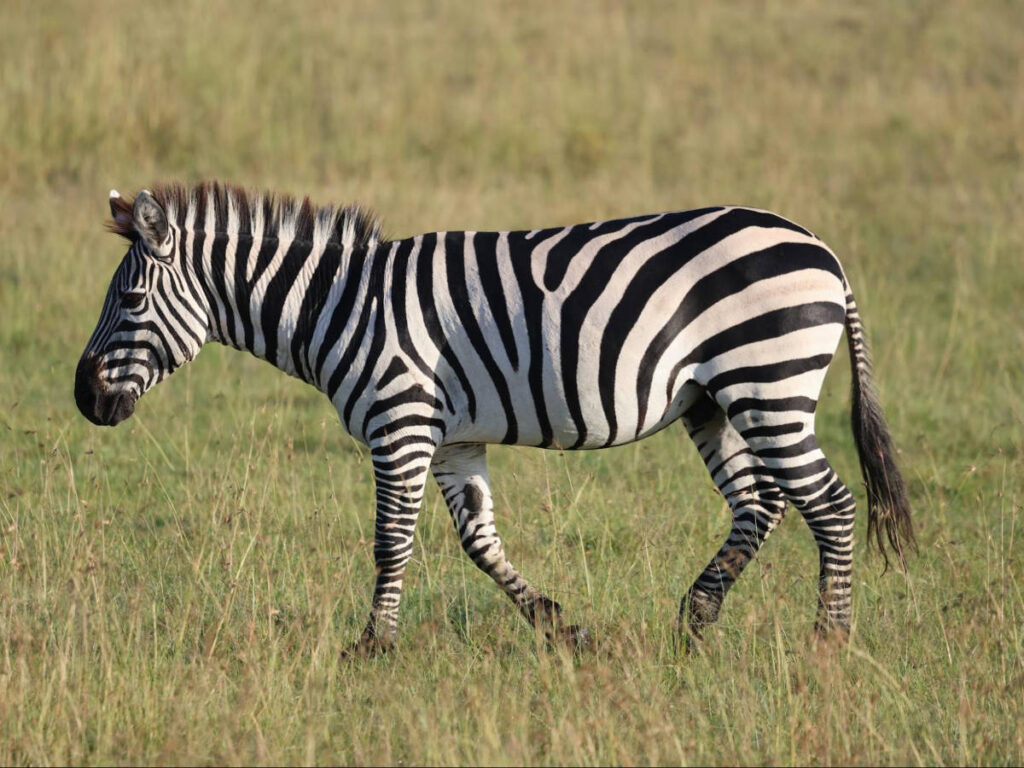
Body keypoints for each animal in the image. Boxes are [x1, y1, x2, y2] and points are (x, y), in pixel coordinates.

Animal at [75, 182, 914, 655]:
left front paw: (370, 648)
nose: (83, 399)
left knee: (830, 504)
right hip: (715, 401)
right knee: (761, 503)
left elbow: (390, 541)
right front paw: (561, 628)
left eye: (130, 300)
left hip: (767, 382)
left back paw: (828, 640)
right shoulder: (453, 439)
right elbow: (479, 543)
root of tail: (825, 251)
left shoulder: (400, 421)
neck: (339, 305)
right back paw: (696, 619)